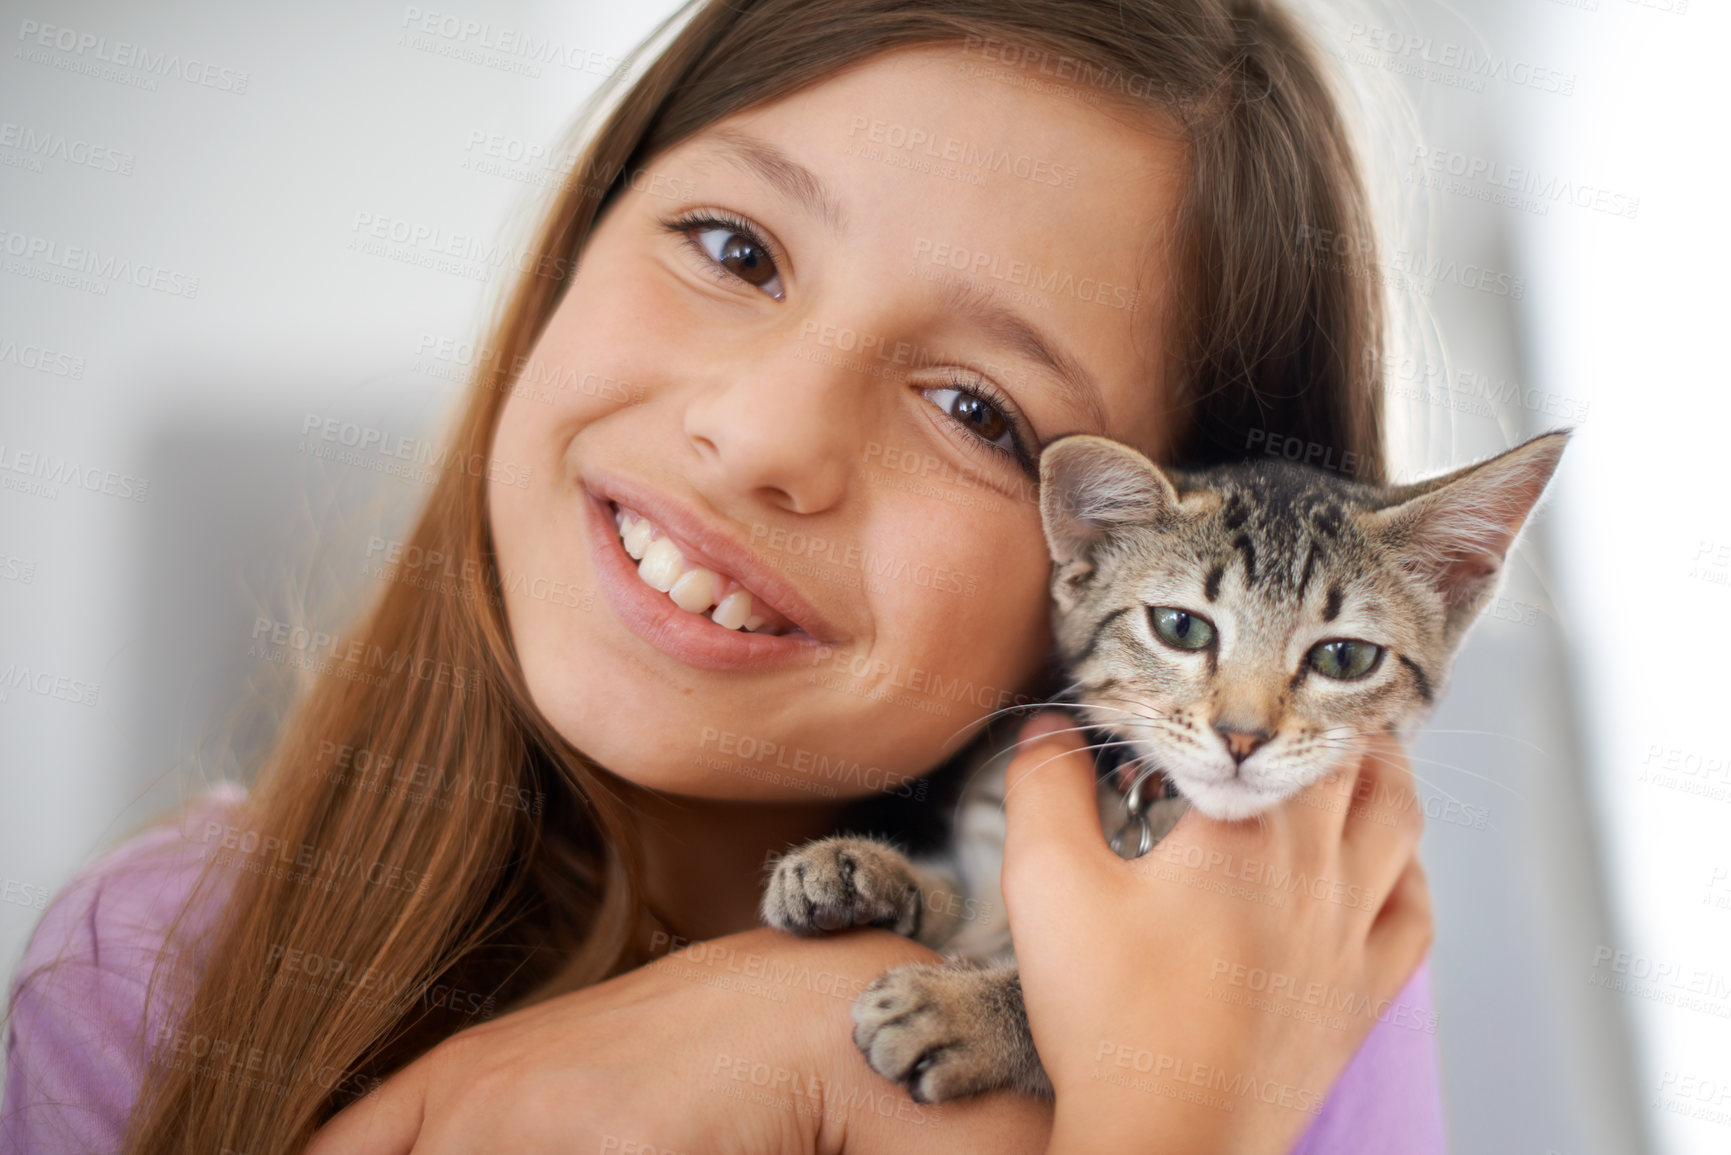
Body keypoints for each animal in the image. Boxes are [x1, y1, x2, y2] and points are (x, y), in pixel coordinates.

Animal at [758, 431, 1571, 1101]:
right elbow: (966, 899)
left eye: (1344, 657)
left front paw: (963, 1011)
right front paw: (864, 871)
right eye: (1180, 627)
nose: (1242, 735)